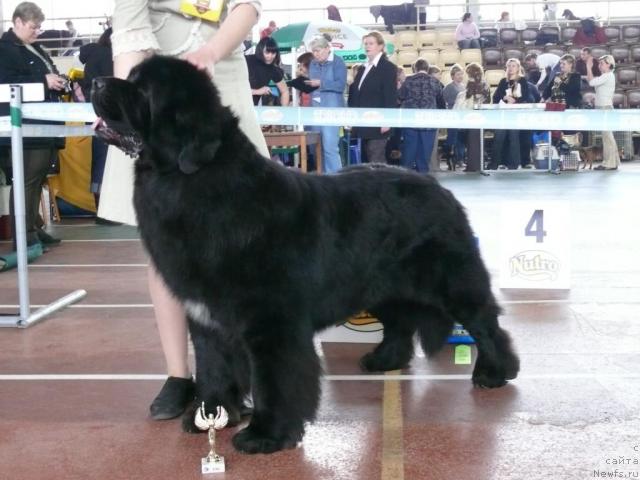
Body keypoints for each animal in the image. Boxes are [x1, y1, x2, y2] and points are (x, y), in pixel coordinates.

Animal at [91, 55, 520, 454]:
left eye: (142, 90)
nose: (95, 81)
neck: (193, 183)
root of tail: (438, 186)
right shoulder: (206, 317)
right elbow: (213, 367)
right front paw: (210, 416)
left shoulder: (271, 322)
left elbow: (275, 380)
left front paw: (265, 435)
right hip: (381, 285)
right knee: (399, 322)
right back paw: (383, 360)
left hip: (451, 281)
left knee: (486, 322)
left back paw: (496, 372)